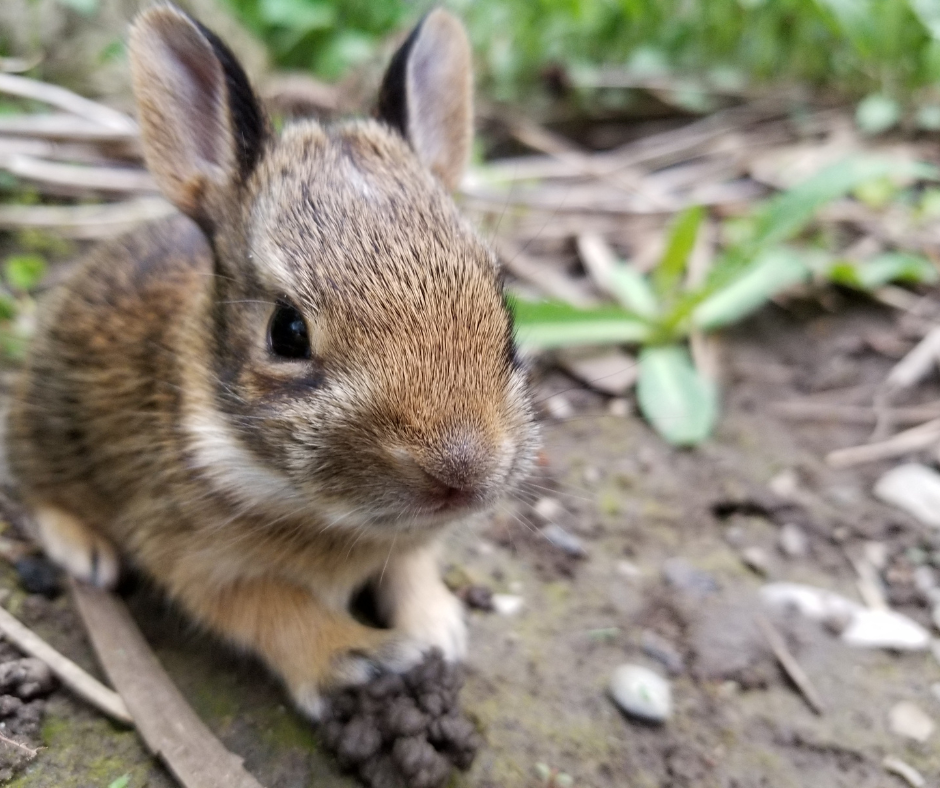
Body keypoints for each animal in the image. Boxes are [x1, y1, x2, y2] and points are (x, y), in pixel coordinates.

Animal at [6, 4, 537, 718]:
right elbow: (273, 610)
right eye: (286, 333)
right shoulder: (198, 561)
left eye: (504, 307)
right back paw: (84, 551)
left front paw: (437, 628)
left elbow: (408, 568)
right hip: (48, 420)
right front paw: (362, 657)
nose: (462, 473)